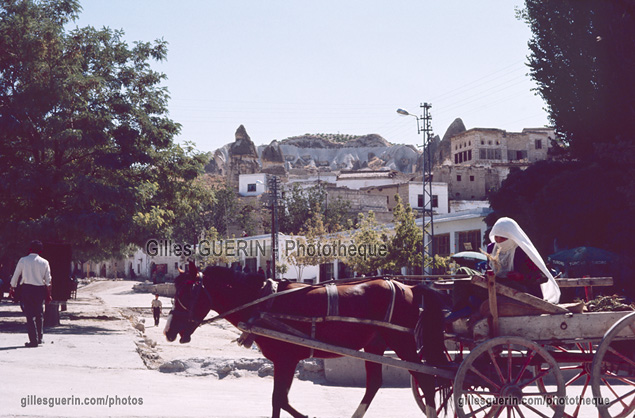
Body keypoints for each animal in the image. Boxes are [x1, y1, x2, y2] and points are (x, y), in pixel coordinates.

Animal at [166, 264, 450, 418]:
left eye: (186, 293)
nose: (168, 330)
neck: (261, 302)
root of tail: (410, 287)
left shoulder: (285, 360)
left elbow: (279, 400)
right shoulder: (284, 362)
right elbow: (281, 400)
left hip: (402, 342)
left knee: (427, 379)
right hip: (375, 345)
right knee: (375, 384)